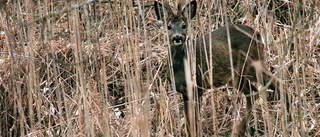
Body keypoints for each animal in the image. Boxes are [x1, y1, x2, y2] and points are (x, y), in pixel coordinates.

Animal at [154, 0, 278, 136]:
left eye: (184, 25)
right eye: (169, 26)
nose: (177, 37)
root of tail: (258, 34)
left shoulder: (197, 86)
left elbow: (195, 121)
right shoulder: (185, 92)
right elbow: (188, 122)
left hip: (252, 64)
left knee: (275, 82)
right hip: (237, 76)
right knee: (253, 92)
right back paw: (239, 130)